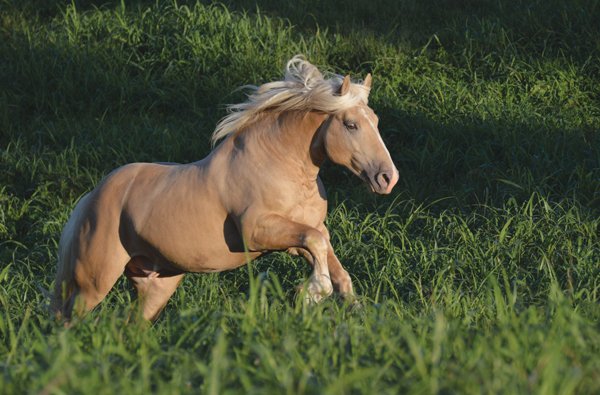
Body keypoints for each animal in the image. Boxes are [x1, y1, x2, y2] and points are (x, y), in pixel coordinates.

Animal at [52, 56, 398, 322]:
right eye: (351, 124)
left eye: (376, 120)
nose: (387, 178)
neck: (279, 164)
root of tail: (89, 199)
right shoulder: (256, 232)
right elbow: (316, 245)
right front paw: (309, 295)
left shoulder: (301, 232)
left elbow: (329, 258)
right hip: (91, 282)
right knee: (66, 321)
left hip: (155, 286)